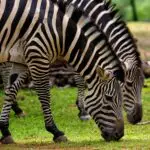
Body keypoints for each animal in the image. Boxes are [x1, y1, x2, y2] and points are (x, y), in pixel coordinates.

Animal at [0, 0, 125, 143]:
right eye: (109, 98)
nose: (120, 135)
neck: (61, 32)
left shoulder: (21, 61)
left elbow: (11, 90)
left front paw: (5, 130)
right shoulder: (37, 56)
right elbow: (44, 95)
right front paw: (55, 131)